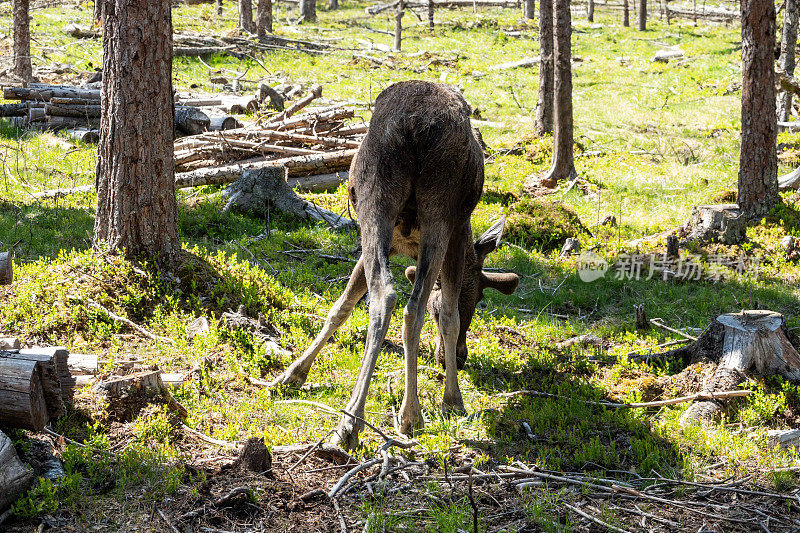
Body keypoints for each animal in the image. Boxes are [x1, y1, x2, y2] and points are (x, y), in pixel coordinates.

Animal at [270, 81, 520, 446]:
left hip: (376, 206)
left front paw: (293, 373)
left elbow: (341, 306)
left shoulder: (383, 244)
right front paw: (452, 400)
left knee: (383, 296)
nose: (458, 358)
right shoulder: (459, 236)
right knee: (411, 307)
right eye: (477, 301)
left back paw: (351, 421)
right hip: (440, 213)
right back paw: (410, 415)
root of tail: (414, 126)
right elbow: (449, 314)